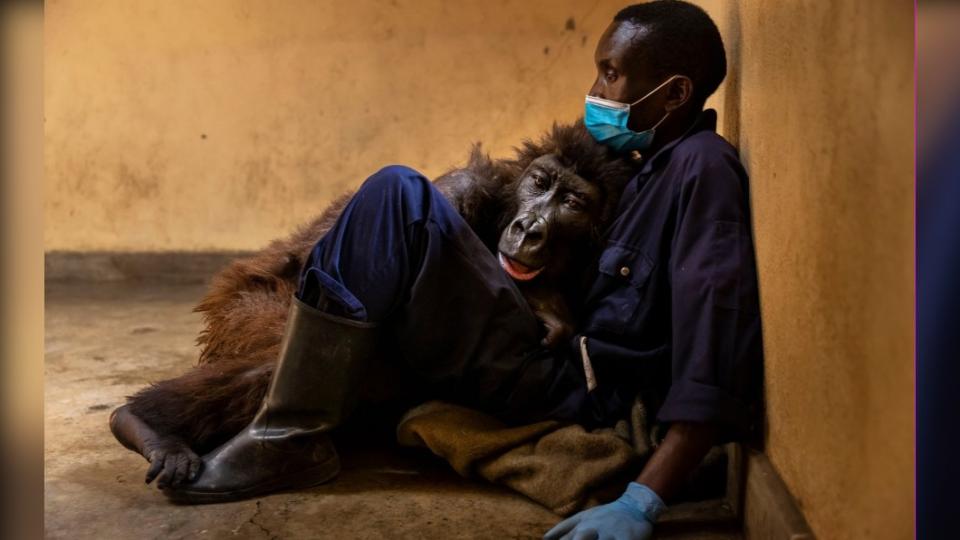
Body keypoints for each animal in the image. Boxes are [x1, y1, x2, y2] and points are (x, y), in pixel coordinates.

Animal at [107, 121, 636, 490]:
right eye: (540, 182)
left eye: (571, 202)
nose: (530, 228)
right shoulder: (461, 189)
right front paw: (545, 303)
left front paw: (551, 306)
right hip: (240, 312)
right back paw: (148, 423)